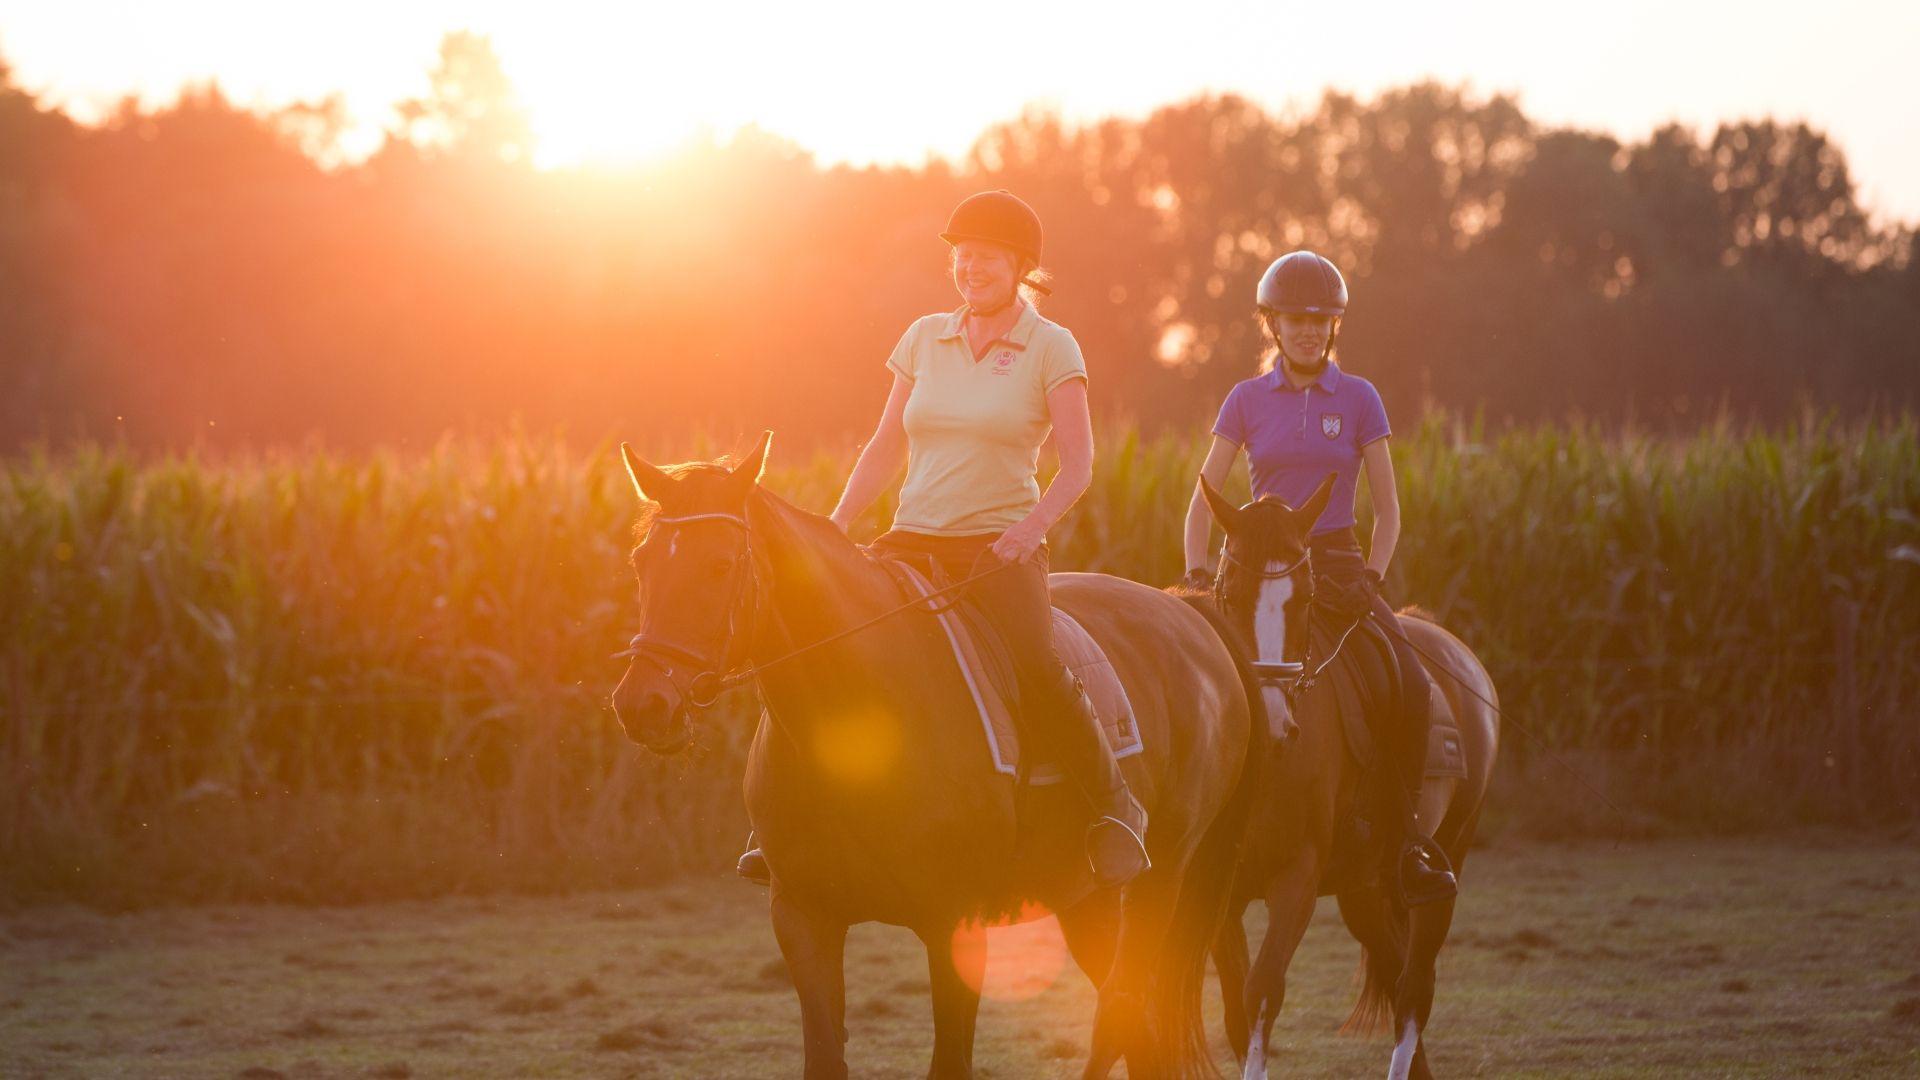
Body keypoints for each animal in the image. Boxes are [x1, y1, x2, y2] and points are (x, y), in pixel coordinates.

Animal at [602, 430, 1259, 1076]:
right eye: (639, 564)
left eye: (720, 566)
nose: (643, 704)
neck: (854, 729)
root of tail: (1184, 610)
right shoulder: (803, 919)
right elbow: (824, 1056)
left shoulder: (954, 926)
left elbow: (951, 1060)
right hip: (1087, 901)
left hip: (1157, 889)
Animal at [1198, 476, 1497, 1076]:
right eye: (1230, 595)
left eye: (1307, 601)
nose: (1273, 721)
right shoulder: (1227, 895)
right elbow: (1237, 1015)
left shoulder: (1297, 880)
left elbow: (1262, 992)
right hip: (1366, 887)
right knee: (1395, 970)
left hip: (1446, 861)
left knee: (1413, 991)